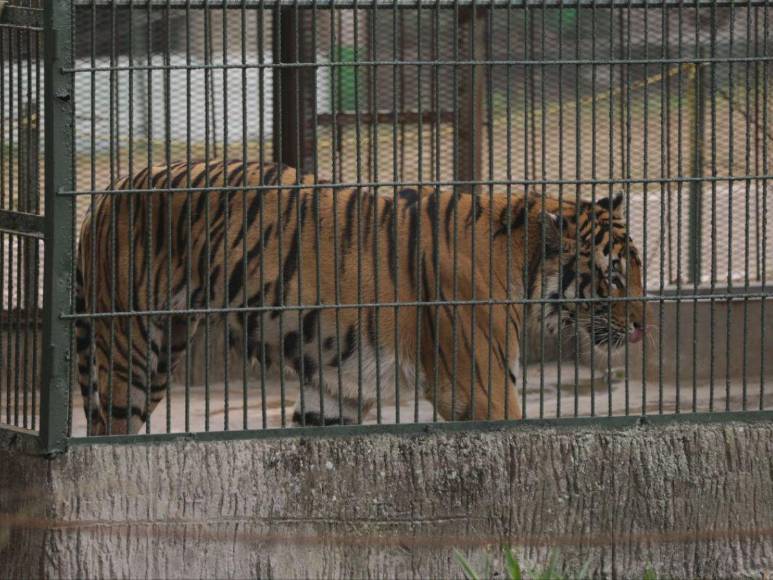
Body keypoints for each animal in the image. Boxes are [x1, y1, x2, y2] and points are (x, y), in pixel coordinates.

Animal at [75, 160, 646, 435]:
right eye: (615, 276)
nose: (645, 327)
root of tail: (107, 191)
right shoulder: (484, 392)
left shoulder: (336, 392)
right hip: (130, 344)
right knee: (107, 432)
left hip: (163, 350)